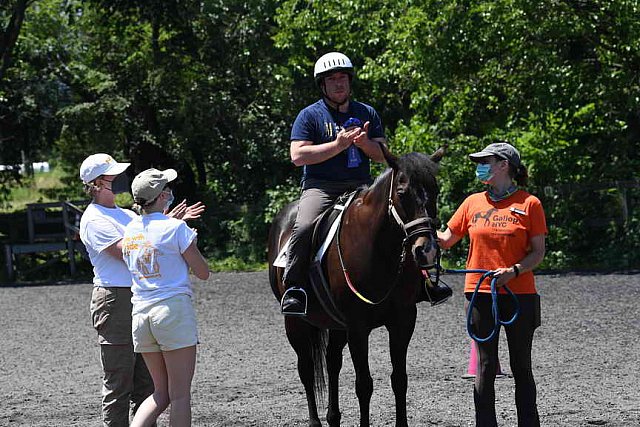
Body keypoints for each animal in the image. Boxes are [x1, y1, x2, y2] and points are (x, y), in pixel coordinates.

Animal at [266, 145, 444, 427]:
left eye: (435, 190)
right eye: (402, 192)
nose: (425, 250)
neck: (379, 249)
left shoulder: (403, 320)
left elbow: (399, 379)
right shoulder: (358, 327)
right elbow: (364, 385)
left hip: (335, 324)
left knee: (332, 362)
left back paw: (333, 417)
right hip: (295, 322)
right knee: (306, 368)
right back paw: (316, 421)